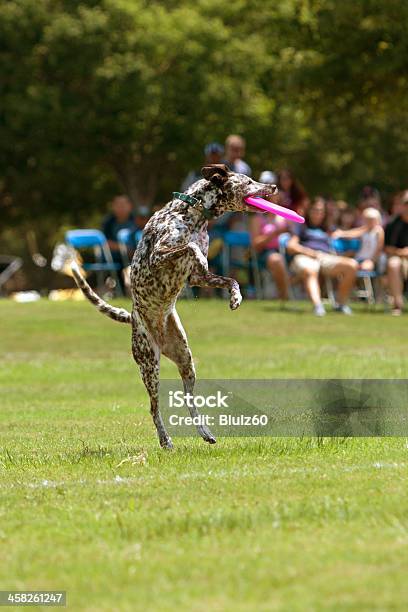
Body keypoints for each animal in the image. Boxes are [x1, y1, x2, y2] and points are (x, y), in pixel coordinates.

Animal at [72, 165, 278, 448]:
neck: (193, 214)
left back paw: (205, 432)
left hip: (186, 361)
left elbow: (230, 279)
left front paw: (236, 297)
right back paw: (165, 440)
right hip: (150, 365)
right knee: (153, 408)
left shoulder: (198, 277)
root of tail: (133, 318)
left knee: (190, 401)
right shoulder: (159, 256)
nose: (274, 186)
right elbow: (190, 247)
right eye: (247, 181)